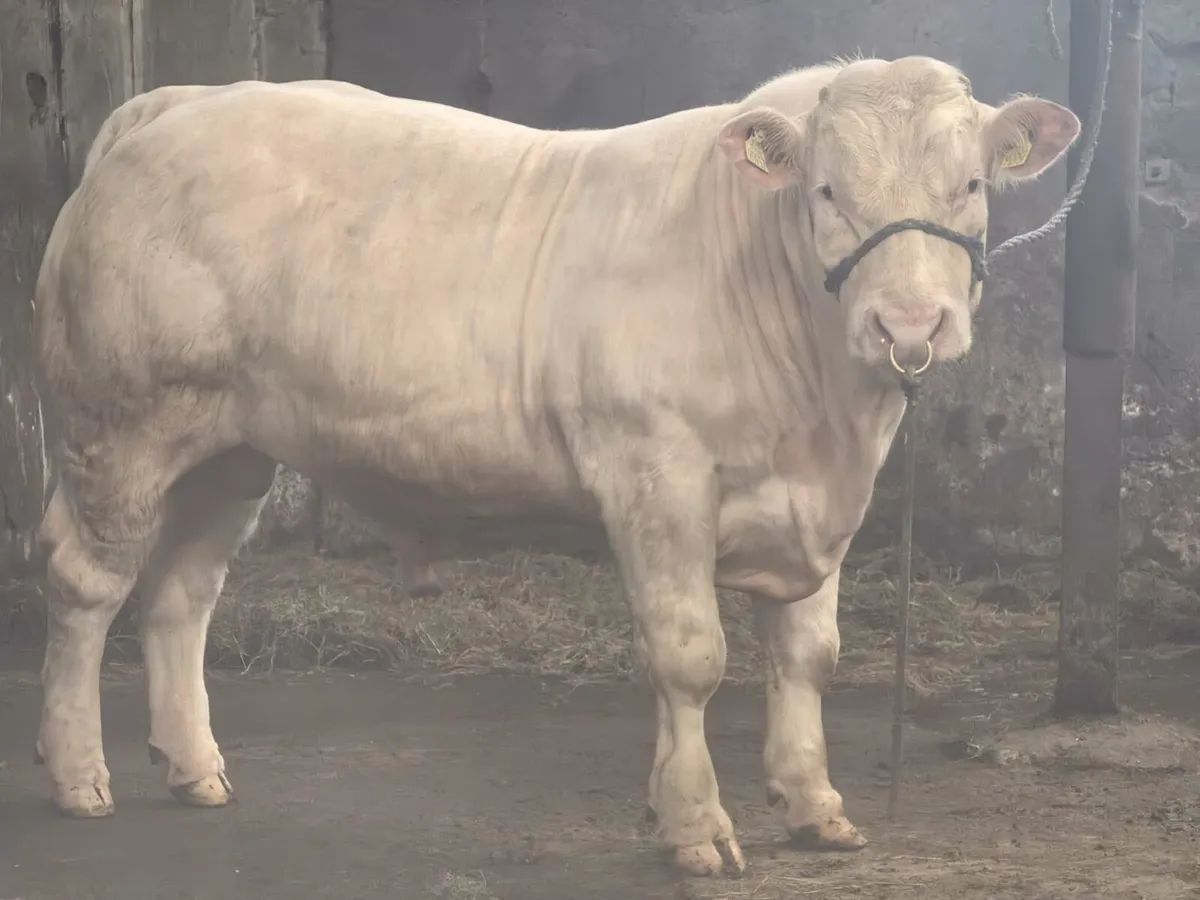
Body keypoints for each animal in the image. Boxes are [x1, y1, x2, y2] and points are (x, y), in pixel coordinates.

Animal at [32, 56, 1079, 876]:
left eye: (971, 186)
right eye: (827, 192)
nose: (909, 324)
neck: (823, 414)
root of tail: (179, 102)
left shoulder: (818, 503)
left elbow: (807, 656)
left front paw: (815, 805)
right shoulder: (656, 474)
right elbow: (691, 656)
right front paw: (695, 826)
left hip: (232, 449)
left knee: (180, 595)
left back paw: (195, 767)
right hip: (120, 427)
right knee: (85, 587)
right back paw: (79, 775)